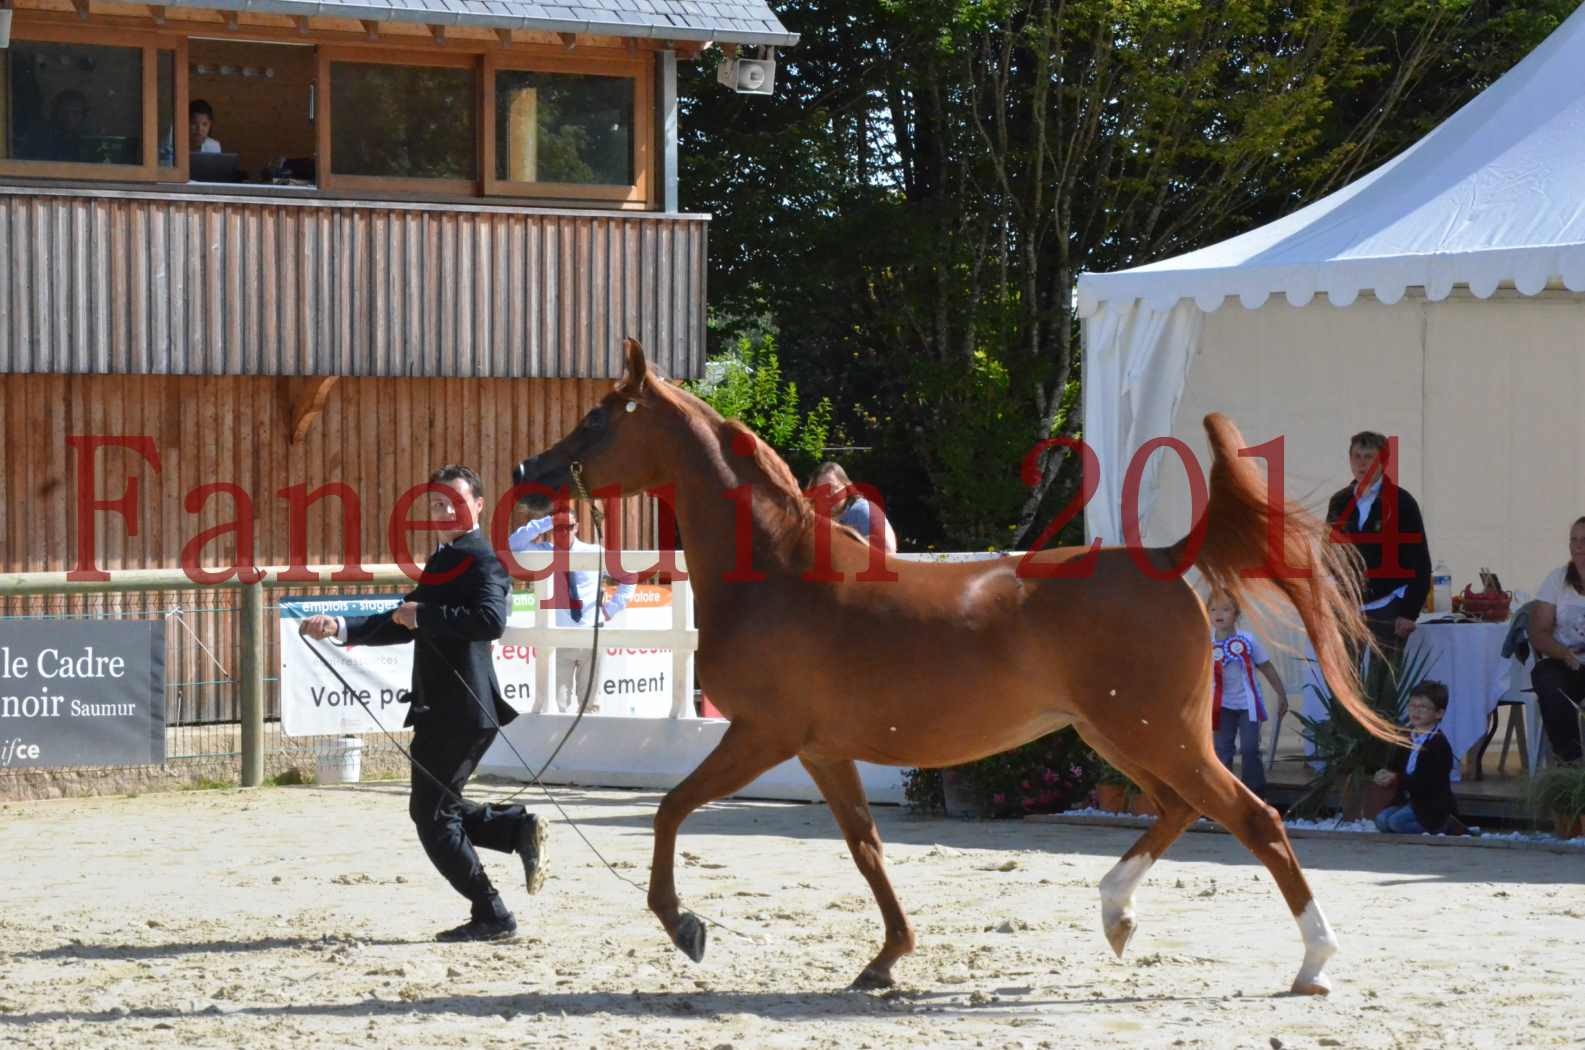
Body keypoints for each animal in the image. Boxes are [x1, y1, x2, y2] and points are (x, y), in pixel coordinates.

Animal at [513, 341, 1394, 1002]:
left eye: (596, 419)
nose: (527, 474)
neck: (777, 571)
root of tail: (1167, 558)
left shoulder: (761, 735)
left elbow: (669, 810)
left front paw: (683, 925)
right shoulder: (821, 750)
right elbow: (865, 847)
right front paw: (885, 959)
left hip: (1156, 733)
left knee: (1256, 819)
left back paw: (1313, 964)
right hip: (1118, 736)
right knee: (1182, 809)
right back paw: (1116, 919)